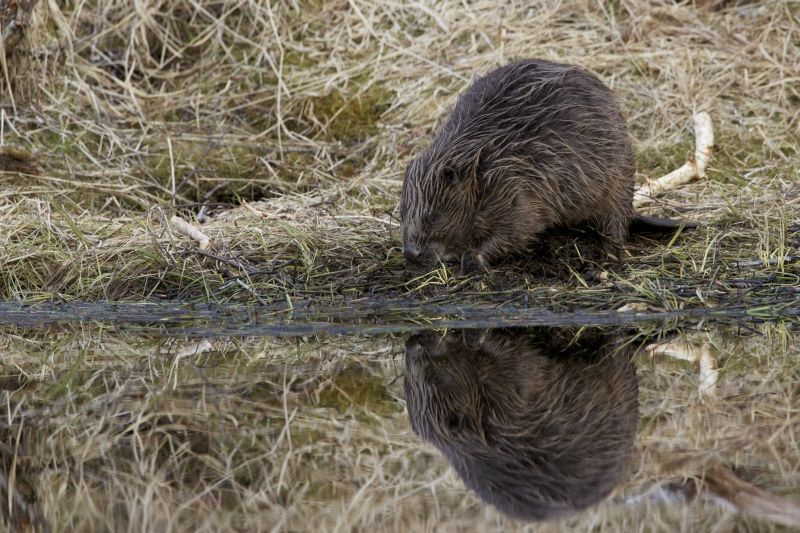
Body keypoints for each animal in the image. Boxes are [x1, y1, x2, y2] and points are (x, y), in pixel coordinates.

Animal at [404, 59, 692, 270]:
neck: (481, 159)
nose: (410, 254)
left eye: (434, 216)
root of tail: (633, 208)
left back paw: (606, 258)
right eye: (401, 213)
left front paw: (474, 258)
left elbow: (520, 227)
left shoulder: (515, 187)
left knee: (616, 225)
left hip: (617, 178)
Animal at [404, 326, 640, 520]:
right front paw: (477, 336)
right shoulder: (512, 399)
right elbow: (522, 361)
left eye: (406, 383)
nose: (411, 343)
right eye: (432, 377)